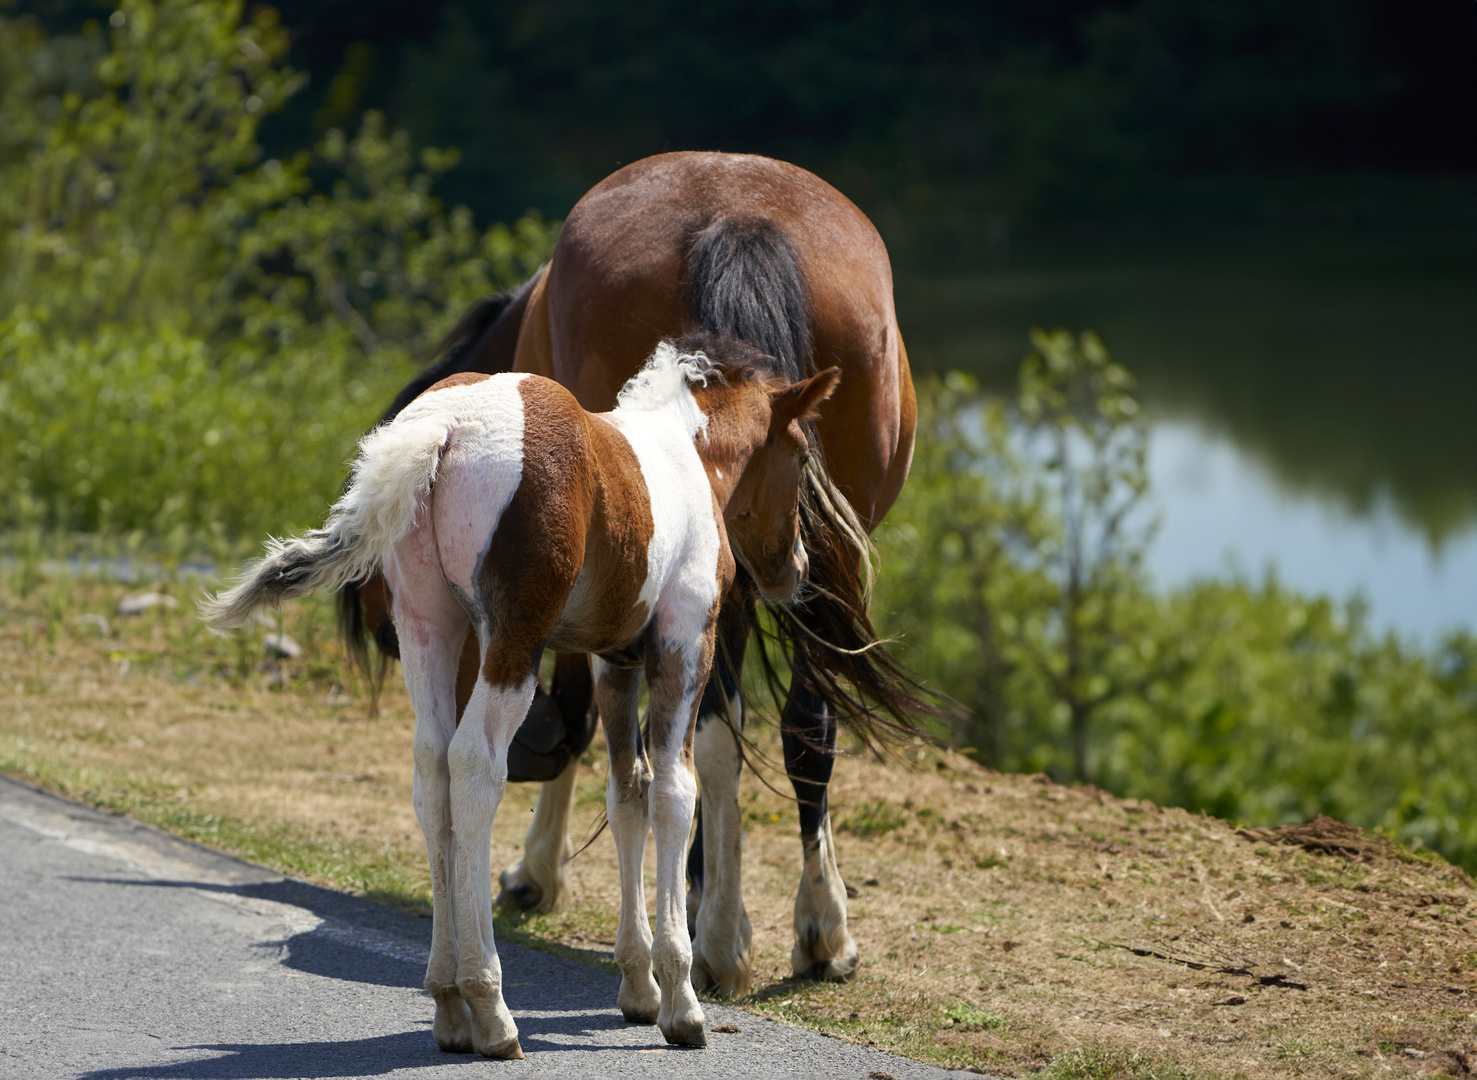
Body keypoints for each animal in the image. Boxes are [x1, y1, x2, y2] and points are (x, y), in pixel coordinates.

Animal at [202, 335, 838, 1057]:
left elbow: (628, 795)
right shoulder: (682, 643)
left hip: (429, 627)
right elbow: (675, 795)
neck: (686, 450)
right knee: (474, 765)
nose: (796, 571)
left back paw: (448, 1003)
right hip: (515, 638)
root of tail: (448, 424)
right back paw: (490, 1006)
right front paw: (680, 1000)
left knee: (432, 772)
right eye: (802, 457)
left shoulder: (611, 663)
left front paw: (638, 988)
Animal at [347, 149, 921, 998]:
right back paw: (811, 927)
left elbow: (595, 716)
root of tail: (738, 214)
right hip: (818, 568)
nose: (387, 625)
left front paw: (540, 869)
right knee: (792, 729)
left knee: (712, 731)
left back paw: (719, 930)